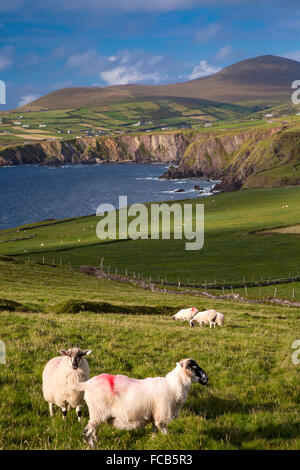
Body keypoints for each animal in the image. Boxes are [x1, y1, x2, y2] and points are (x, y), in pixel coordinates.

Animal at [77, 358, 209, 446]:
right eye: (193, 367)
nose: (207, 379)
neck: (172, 386)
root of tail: (88, 383)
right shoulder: (162, 417)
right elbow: (165, 433)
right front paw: (169, 441)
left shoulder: (155, 415)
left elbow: (154, 431)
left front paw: (152, 442)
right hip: (98, 412)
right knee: (87, 431)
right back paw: (93, 446)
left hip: (97, 414)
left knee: (93, 430)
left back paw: (97, 442)